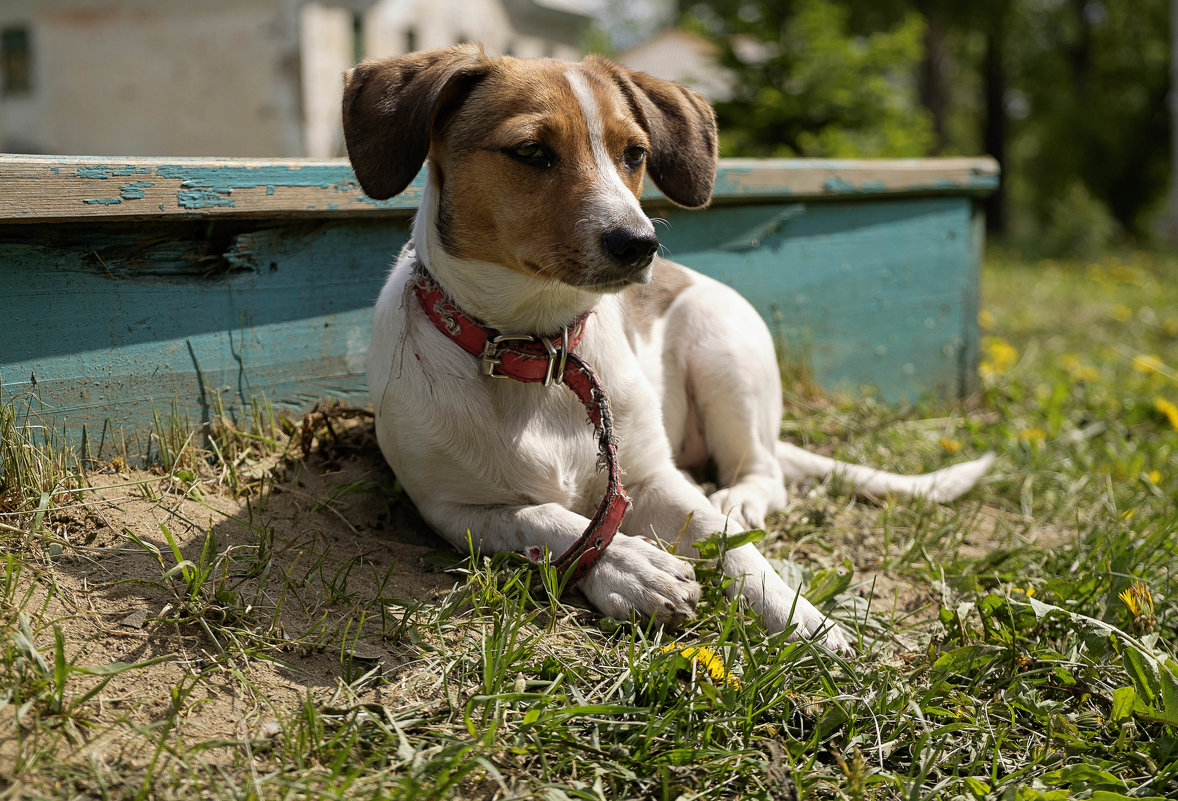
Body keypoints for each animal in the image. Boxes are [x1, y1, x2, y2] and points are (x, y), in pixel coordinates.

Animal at [343, 46, 994, 654]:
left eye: (635, 154)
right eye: (530, 151)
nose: (640, 244)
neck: (540, 351)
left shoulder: (657, 478)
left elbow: (733, 550)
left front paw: (805, 621)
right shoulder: (453, 510)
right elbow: (549, 519)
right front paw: (630, 568)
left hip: (724, 352)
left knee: (762, 472)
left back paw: (742, 499)